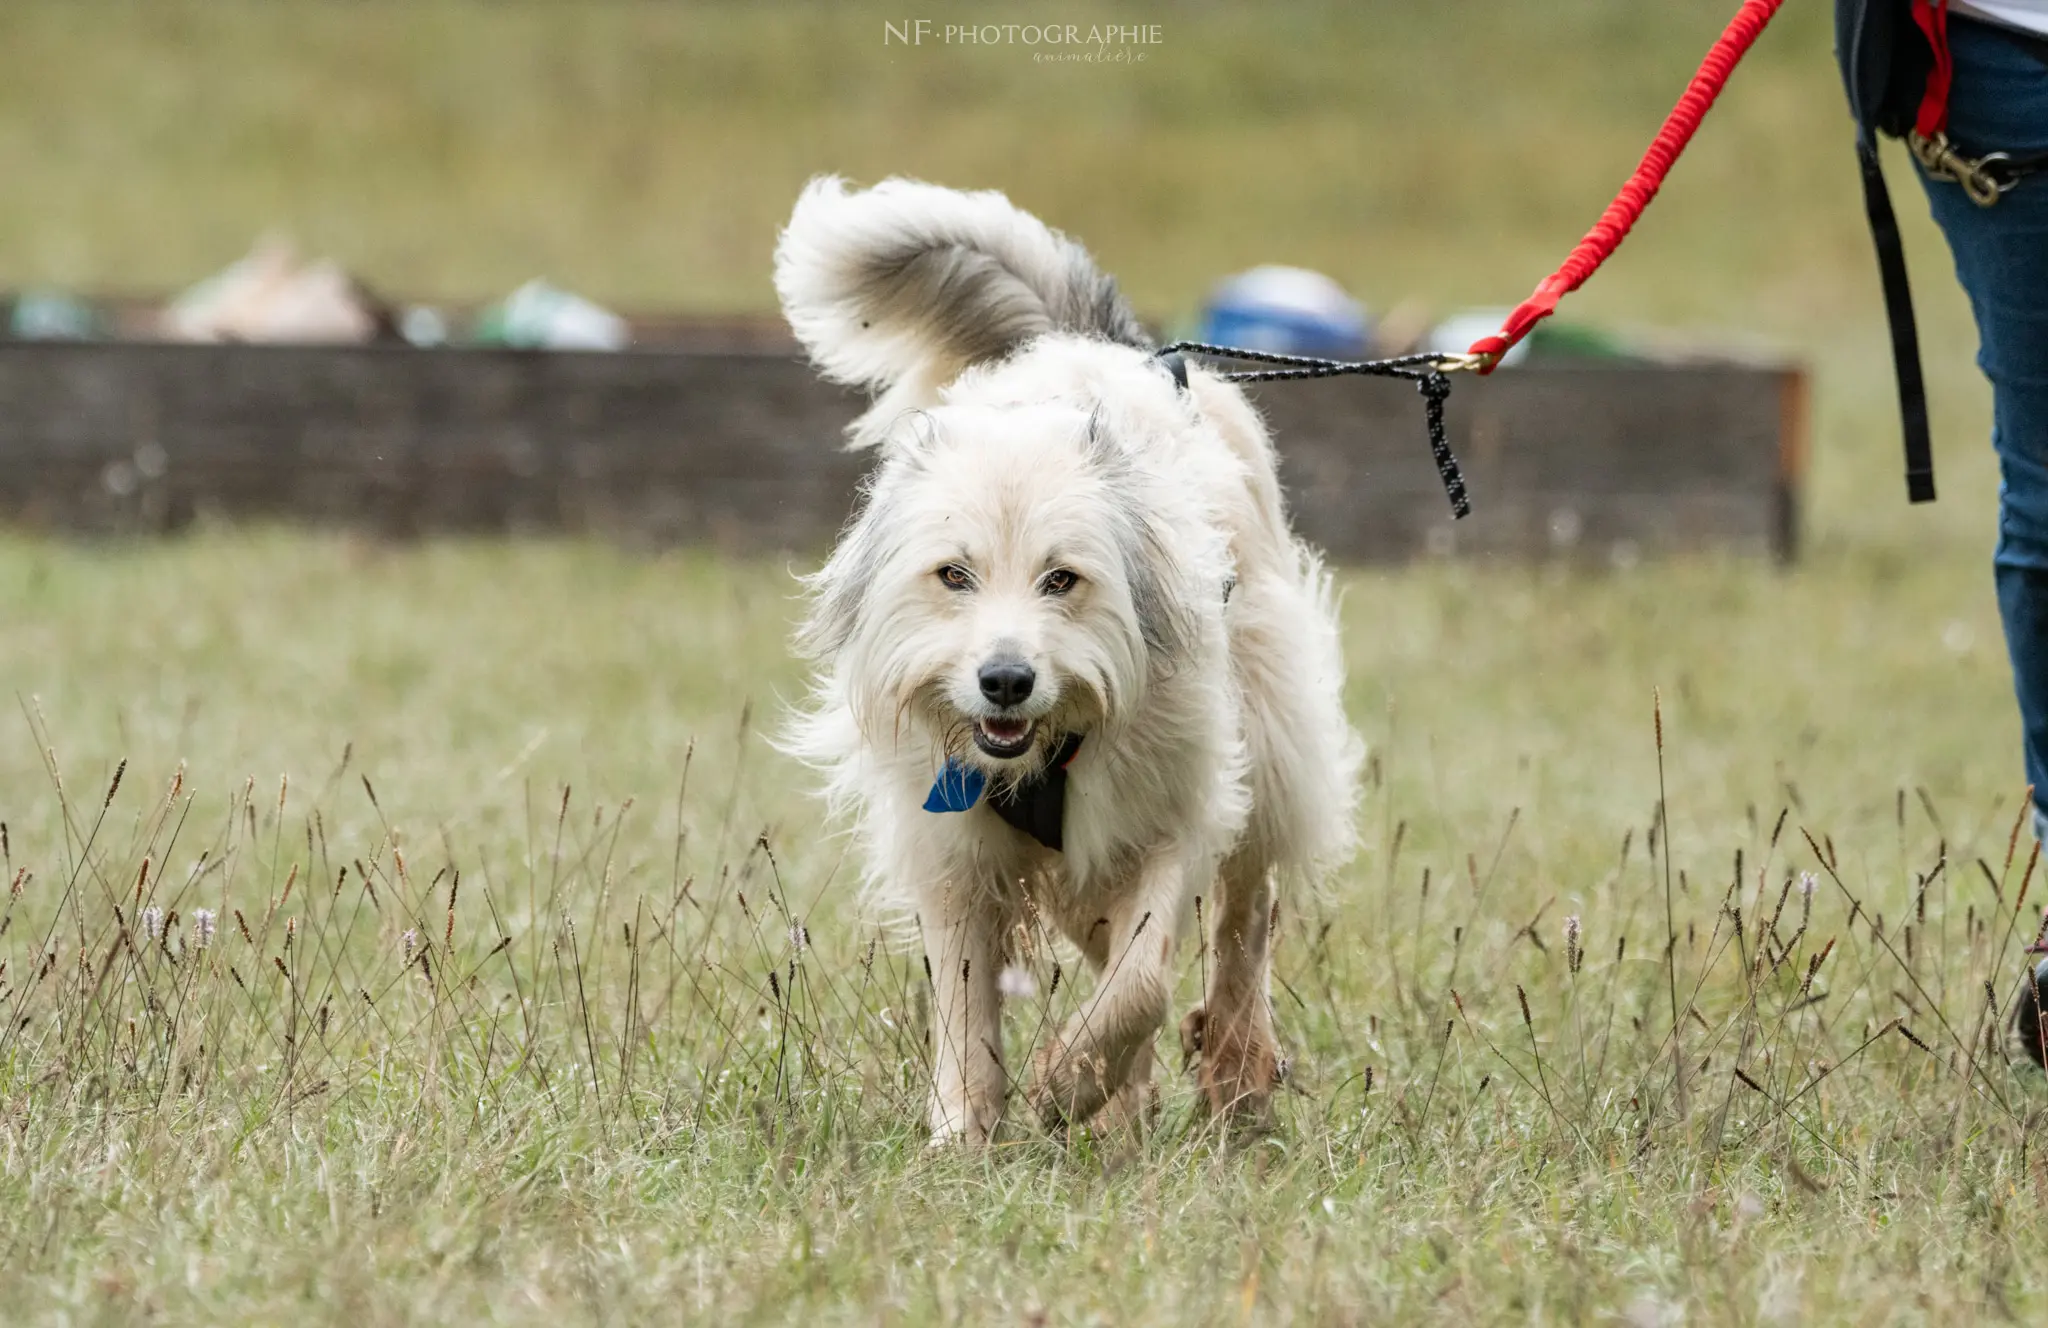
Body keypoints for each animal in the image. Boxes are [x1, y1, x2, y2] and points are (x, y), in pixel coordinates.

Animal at [774, 176, 1368, 1139]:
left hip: (1272, 725)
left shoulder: (1169, 808)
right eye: (955, 574)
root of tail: (1109, 347)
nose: (1005, 681)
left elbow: (1142, 980)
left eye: (1063, 578)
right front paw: (966, 1130)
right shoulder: (954, 844)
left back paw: (1235, 1065)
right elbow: (966, 993)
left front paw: (1067, 1083)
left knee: (1245, 912)